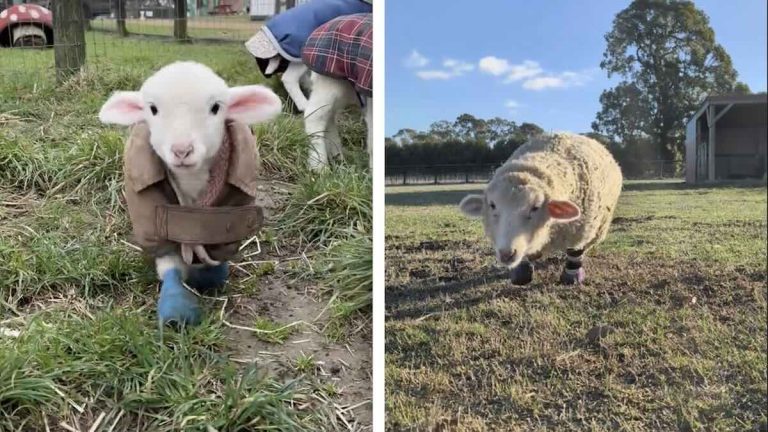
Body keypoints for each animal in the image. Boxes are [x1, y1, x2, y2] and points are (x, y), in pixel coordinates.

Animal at [98, 61, 282, 325]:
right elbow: (168, 261)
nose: (182, 150)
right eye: (152, 109)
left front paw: (207, 275)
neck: (192, 183)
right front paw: (177, 306)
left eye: (216, 107)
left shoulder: (231, 210)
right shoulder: (151, 215)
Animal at [459, 132, 623, 285]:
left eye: (536, 207)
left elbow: (575, 251)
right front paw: (522, 272)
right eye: (492, 205)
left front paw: (572, 276)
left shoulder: (580, 230)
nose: (507, 254)